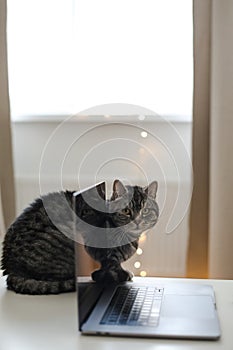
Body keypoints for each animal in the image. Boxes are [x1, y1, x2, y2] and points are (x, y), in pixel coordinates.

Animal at [0, 180, 158, 296]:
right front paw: (120, 275)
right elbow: (111, 265)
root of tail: (10, 268)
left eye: (145, 210)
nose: (137, 221)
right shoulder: (102, 253)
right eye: (126, 211)